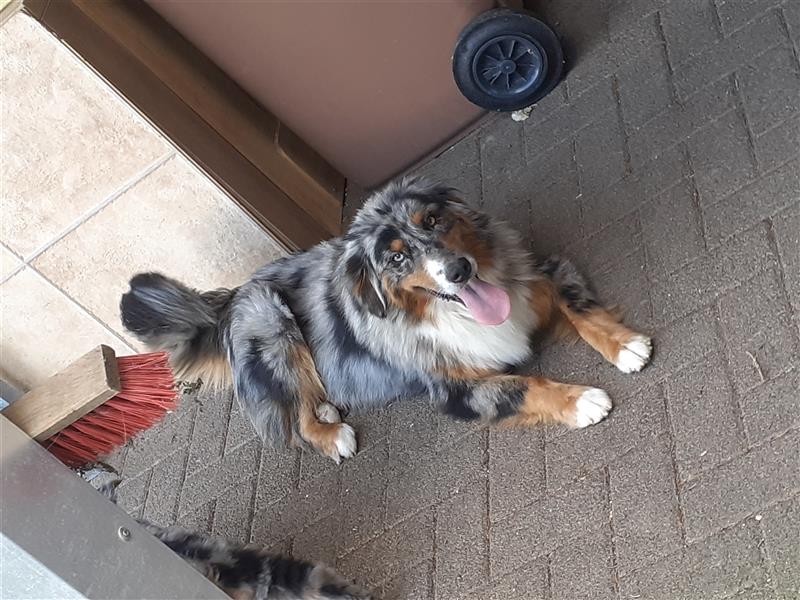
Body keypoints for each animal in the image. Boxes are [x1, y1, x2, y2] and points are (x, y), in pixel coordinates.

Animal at [122, 176, 652, 462]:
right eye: (396, 258)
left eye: (432, 221)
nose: (459, 270)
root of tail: (228, 301)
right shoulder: (457, 388)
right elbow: (528, 385)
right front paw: (583, 400)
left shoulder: (538, 274)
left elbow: (579, 307)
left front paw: (625, 345)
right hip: (270, 318)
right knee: (294, 424)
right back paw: (333, 434)